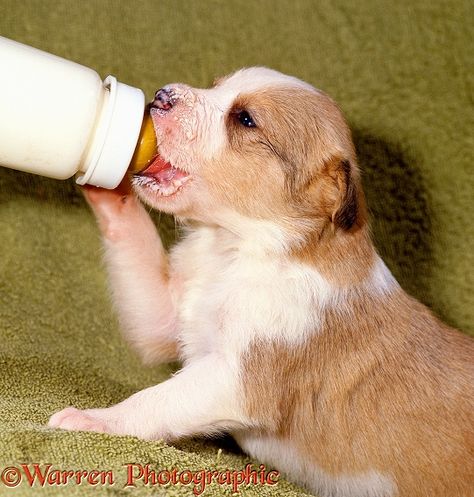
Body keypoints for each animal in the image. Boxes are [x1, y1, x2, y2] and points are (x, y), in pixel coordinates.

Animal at [49, 67, 474, 496]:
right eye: (216, 86)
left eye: (245, 120)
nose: (162, 95)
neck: (235, 250)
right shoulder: (165, 318)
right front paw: (106, 170)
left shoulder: (234, 378)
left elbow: (154, 402)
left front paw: (92, 420)